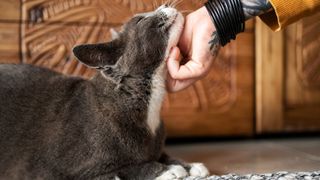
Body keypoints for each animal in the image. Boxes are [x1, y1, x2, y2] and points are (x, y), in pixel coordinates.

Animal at [0, 4, 209, 180]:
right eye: (140, 20)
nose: (164, 4)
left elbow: (162, 154)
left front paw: (189, 165)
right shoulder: (65, 171)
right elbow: (124, 168)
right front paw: (167, 170)